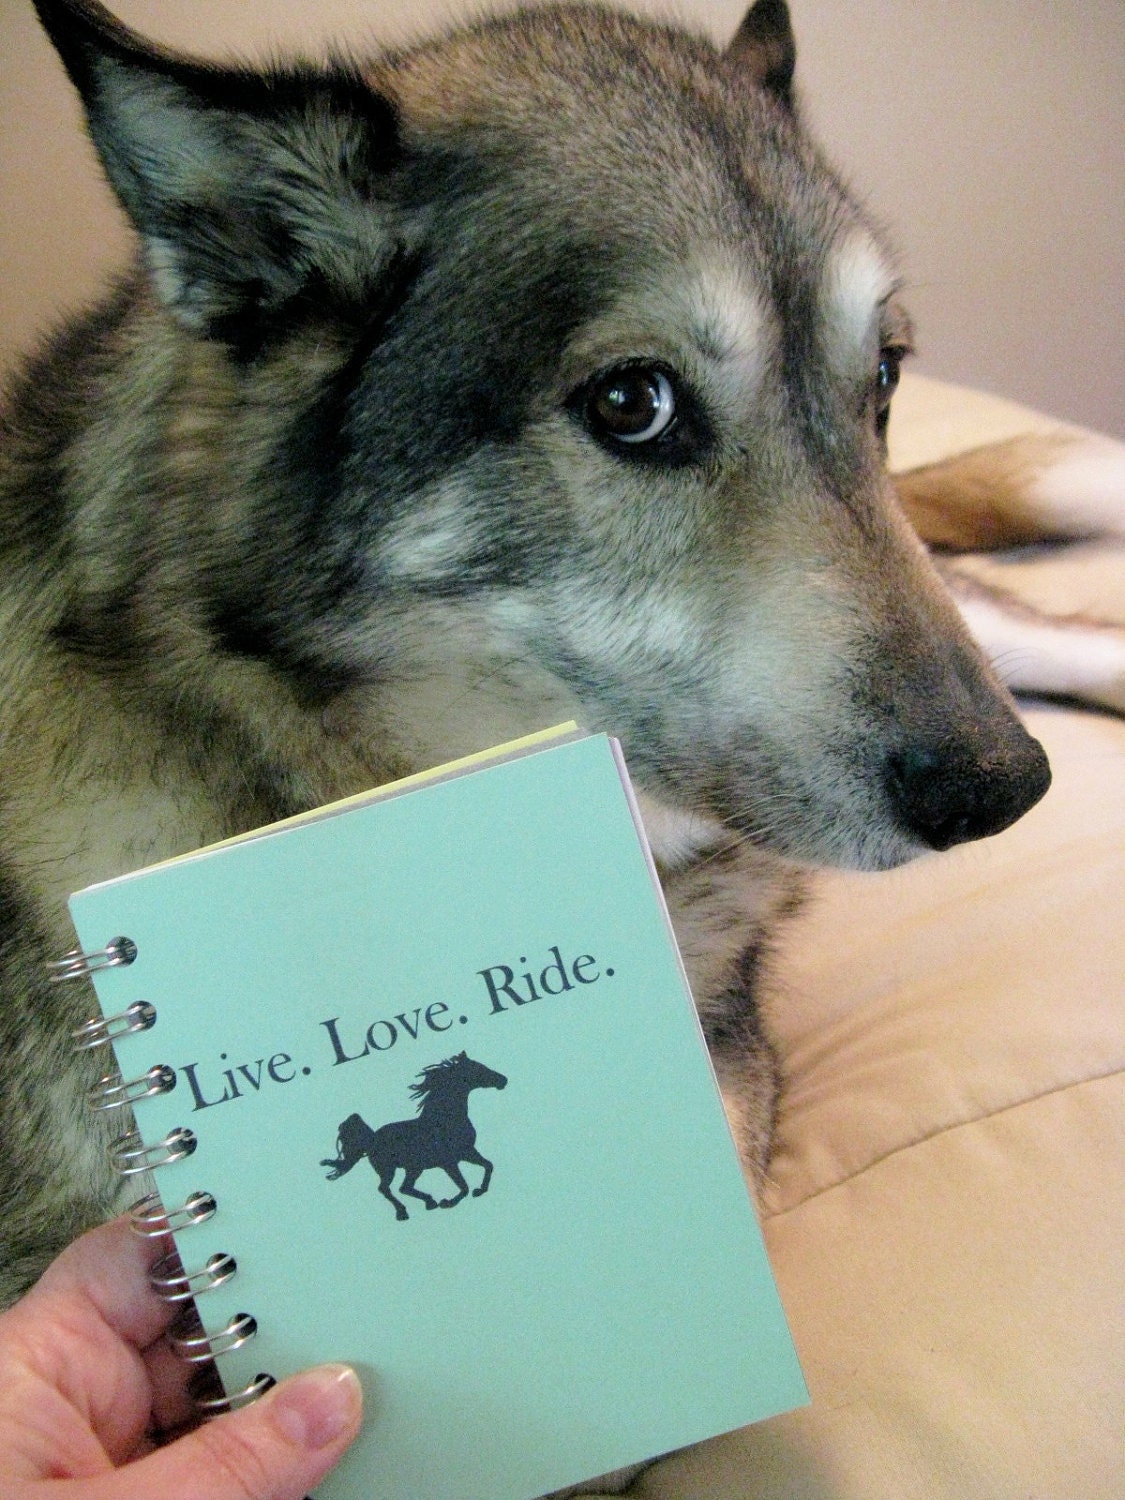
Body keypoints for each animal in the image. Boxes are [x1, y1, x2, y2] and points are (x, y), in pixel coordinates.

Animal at [320, 1052, 508, 1221]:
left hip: (414, 1168)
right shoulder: (449, 1162)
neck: (445, 1119)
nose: (503, 1080)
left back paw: (430, 1202)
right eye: (478, 1068)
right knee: (385, 1189)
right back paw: (404, 1212)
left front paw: (479, 1191)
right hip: (389, 1169)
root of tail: (371, 1139)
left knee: (404, 1187)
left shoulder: (467, 1152)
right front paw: (447, 1202)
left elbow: (488, 1165)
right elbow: (464, 1187)